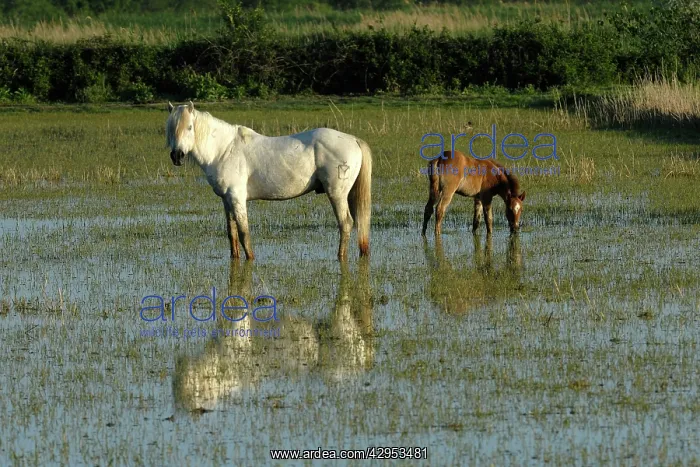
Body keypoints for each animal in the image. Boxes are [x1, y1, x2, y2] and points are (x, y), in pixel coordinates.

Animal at [165, 101, 372, 261]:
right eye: (171, 128)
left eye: (189, 127)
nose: (177, 156)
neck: (224, 150)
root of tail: (353, 139)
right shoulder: (226, 200)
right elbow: (232, 233)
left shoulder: (237, 198)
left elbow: (244, 233)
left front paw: (250, 259)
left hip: (337, 194)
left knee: (345, 223)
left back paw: (340, 257)